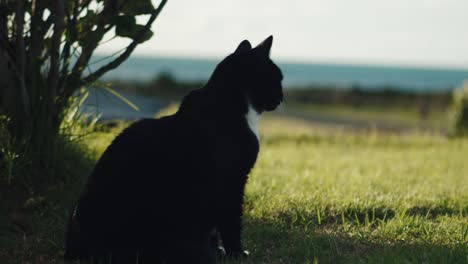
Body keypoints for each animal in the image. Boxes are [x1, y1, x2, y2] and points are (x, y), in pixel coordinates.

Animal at [64, 35, 284, 264]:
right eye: (276, 79)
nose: (282, 97)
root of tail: (74, 251)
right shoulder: (232, 181)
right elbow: (231, 221)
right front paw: (236, 253)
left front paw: (223, 251)